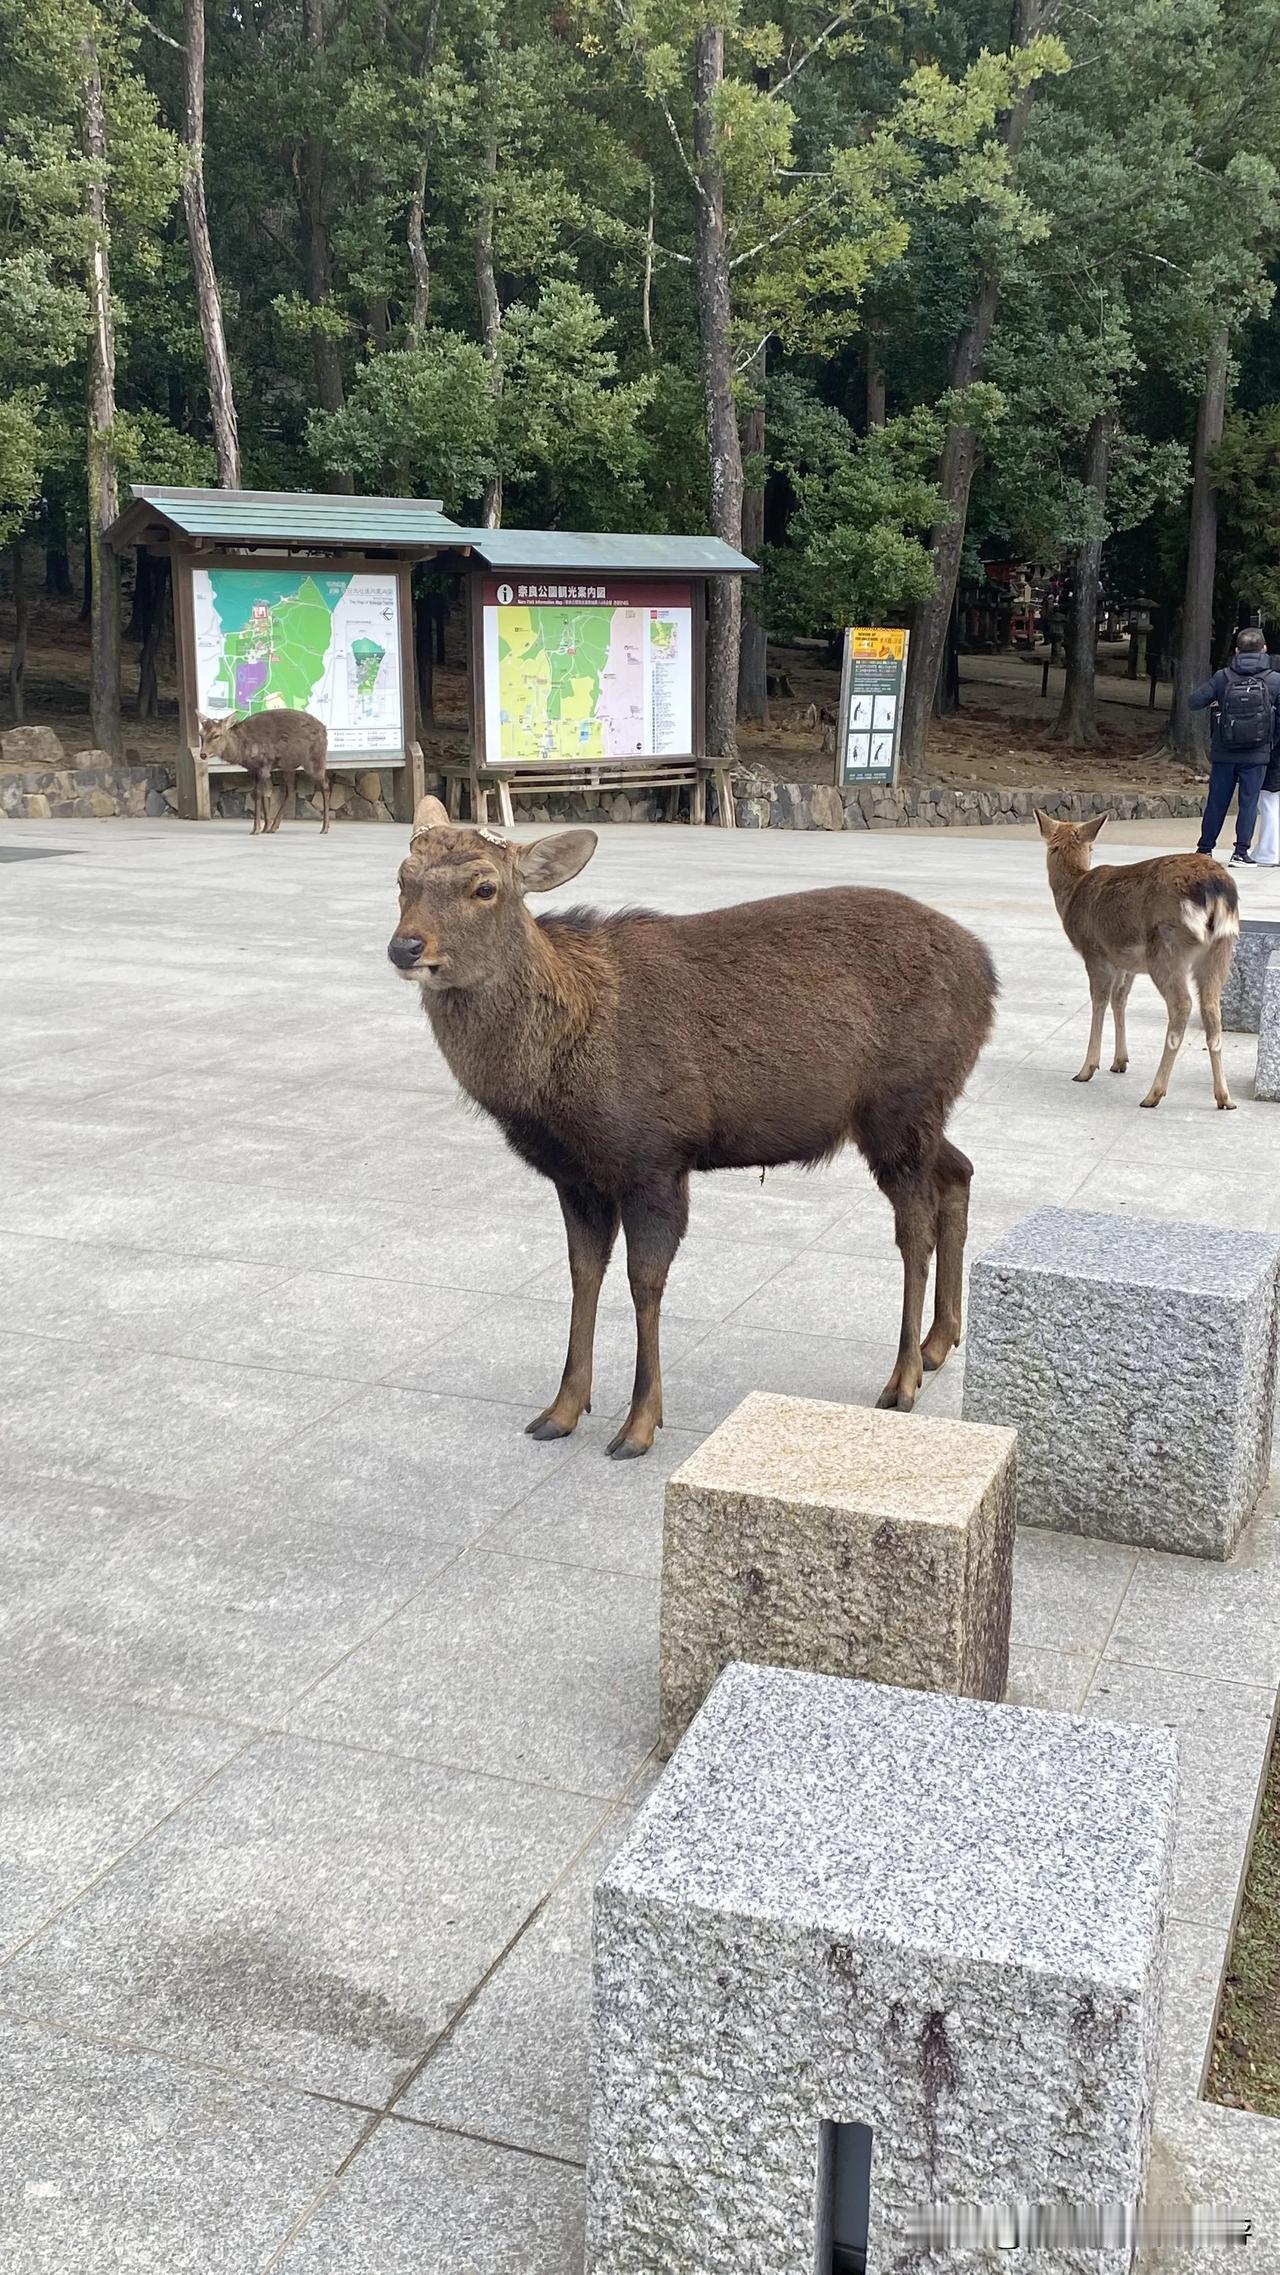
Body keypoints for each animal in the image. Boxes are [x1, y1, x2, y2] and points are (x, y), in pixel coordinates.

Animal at [196, 705, 329, 832]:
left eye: (216, 735)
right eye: (201, 735)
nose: (203, 754)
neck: (243, 750)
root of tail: (324, 730)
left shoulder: (264, 765)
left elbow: (258, 794)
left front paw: (256, 829)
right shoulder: (256, 770)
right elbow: (265, 794)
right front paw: (266, 827)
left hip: (315, 759)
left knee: (325, 785)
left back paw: (324, 828)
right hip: (289, 765)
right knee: (291, 790)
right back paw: (274, 827)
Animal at [391, 805, 1000, 1456]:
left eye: (485, 887)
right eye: (402, 878)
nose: (405, 946)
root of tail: (989, 975)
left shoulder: (654, 1156)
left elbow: (644, 1281)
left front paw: (639, 1424)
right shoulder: (576, 1177)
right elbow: (583, 1274)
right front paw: (562, 1409)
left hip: (901, 1105)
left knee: (915, 1230)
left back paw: (903, 1378)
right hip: (915, 1111)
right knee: (959, 1171)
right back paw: (939, 1343)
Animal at [1041, 809, 1245, 1110]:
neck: (1071, 893)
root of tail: (1216, 891)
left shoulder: (1095, 951)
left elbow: (1099, 1000)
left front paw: (1086, 1069)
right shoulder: (1126, 963)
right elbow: (1119, 999)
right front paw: (1119, 1062)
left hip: (1166, 947)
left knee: (1182, 1004)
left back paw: (1153, 1094)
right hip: (1221, 948)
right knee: (1211, 1009)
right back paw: (1225, 1098)